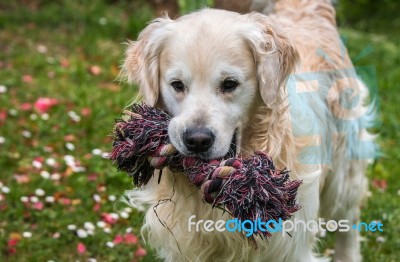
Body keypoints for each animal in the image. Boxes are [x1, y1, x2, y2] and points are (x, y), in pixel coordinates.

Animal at [121, 1, 376, 260]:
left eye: (229, 84)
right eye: (177, 85)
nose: (197, 140)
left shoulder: (291, 247)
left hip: (343, 172)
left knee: (349, 216)